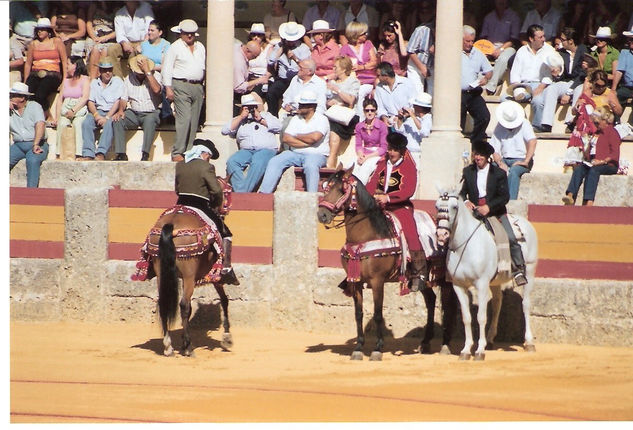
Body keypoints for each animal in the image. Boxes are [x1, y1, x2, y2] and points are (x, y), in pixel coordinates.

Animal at [148, 210, 232, 358]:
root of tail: (171, 224)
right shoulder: (214, 276)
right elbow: (224, 300)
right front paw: (227, 338)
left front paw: (183, 341)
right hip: (189, 276)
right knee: (184, 305)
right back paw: (189, 349)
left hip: (161, 274)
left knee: (164, 304)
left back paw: (168, 347)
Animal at [316, 168, 454, 360]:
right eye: (326, 187)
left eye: (342, 189)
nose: (322, 214)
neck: (366, 234)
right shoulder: (356, 281)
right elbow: (358, 314)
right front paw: (358, 347)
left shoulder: (377, 281)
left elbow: (377, 314)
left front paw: (377, 348)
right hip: (424, 279)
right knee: (431, 300)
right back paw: (425, 342)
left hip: (445, 279)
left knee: (447, 306)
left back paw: (445, 345)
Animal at [434, 190, 540, 362]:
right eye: (437, 206)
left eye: (454, 207)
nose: (442, 234)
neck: (465, 247)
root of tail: (525, 222)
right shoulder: (459, 286)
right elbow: (467, 318)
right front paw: (465, 350)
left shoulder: (481, 284)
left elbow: (481, 317)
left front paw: (479, 351)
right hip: (496, 281)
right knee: (497, 303)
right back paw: (490, 339)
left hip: (530, 271)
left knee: (526, 304)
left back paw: (529, 342)